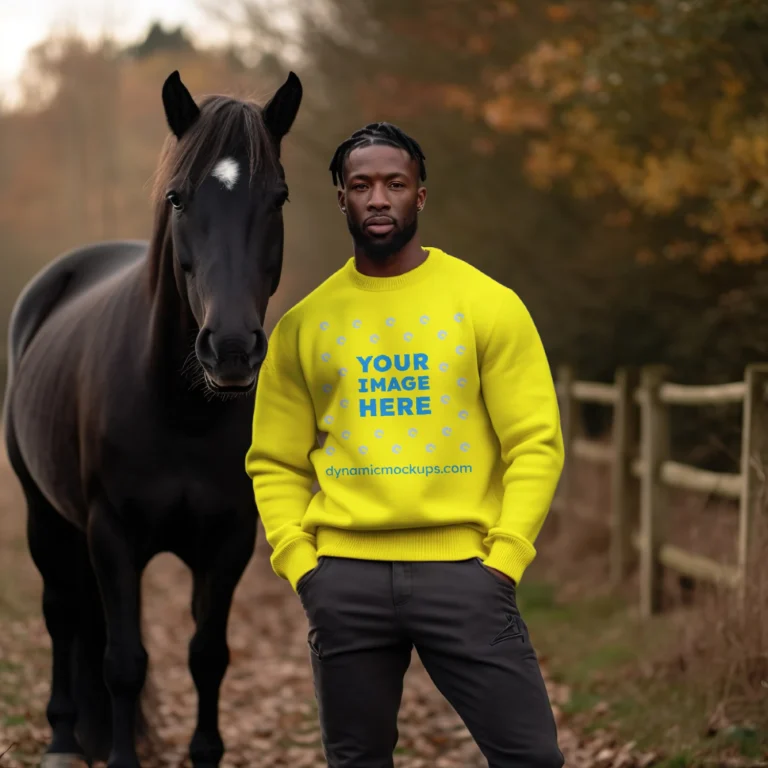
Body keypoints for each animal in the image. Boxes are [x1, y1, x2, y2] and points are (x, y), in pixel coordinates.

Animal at [3, 69, 304, 764]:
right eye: (177, 197)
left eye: (278, 197)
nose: (230, 347)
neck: (180, 412)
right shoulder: (112, 536)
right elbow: (124, 663)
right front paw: (119, 755)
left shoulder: (228, 542)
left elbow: (207, 657)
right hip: (44, 516)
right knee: (62, 613)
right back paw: (63, 738)